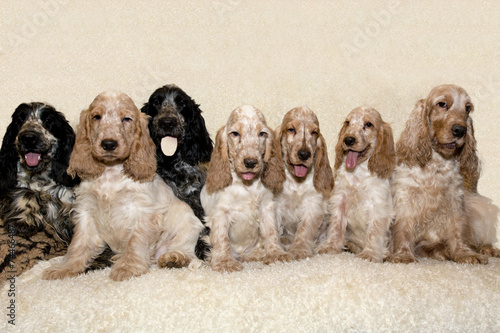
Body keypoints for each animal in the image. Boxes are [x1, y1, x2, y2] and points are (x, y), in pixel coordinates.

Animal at [43, 91, 203, 280]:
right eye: (96, 116)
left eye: (126, 119)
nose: (109, 144)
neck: (111, 171)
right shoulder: (86, 211)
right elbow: (79, 244)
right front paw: (65, 268)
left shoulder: (143, 211)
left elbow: (136, 241)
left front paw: (128, 267)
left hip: (187, 223)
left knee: (188, 253)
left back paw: (174, 258)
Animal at [199, 104, 286, 272]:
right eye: (235, 133)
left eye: (262, 133)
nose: (250, 162)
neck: (246, 185)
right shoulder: (221, 211)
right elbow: (222, 238)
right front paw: (224, 262)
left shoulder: (267, 207)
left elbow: (271, 232)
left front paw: (276, 254)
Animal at [316, 107, 394, 262]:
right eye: (347, 123)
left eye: (368, 124)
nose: (348, 139)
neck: (358, 172)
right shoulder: (340, 199)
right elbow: (336, 227)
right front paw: (330, 247)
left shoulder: (378, 205)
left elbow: (374, 232)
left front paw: (369, 254)